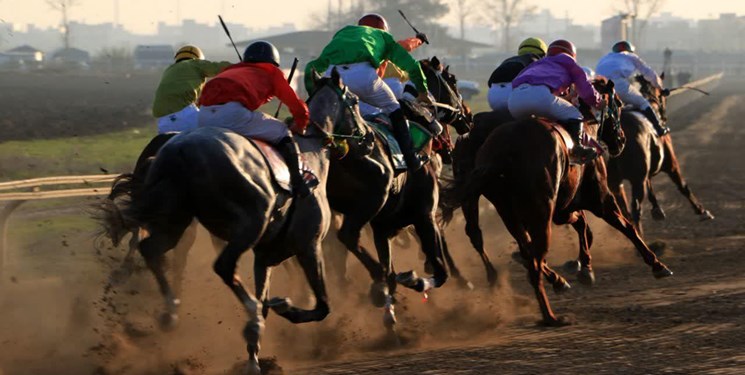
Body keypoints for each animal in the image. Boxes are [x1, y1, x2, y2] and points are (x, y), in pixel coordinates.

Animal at [99, 70, 366, 375]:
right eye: (356, 101)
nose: (366, 136)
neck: (310, 153)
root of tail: (179, 149)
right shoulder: (309, 246)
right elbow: (322, 306)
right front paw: (282, 308)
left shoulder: (265, 257)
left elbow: (267, 300)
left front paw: (254, 359)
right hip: (250, 221)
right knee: (224, 267)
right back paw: (248, 314)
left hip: (174, 220)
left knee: (151, 249)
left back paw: (170, 311)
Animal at [442, 78, 676, 326]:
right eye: (619, 104)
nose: (621, 140)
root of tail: (501, 150)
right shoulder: (600, 199)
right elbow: (625, 226)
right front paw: (657, 265)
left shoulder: (564, 208)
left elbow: (582, 225)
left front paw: (584, 268)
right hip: (539, 211)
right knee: (532, 258)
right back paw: (550, 314)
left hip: (504, 209)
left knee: (507, 243)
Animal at [604, 74, 716, 235]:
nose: (664, 117)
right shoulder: (671, 163)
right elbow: (683, 186)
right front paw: (702, 211)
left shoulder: (645, 170)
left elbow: (650, 184)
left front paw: (657, 210)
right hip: (635, 181)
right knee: (635, 208)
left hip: (614, 182)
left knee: (625, 211)